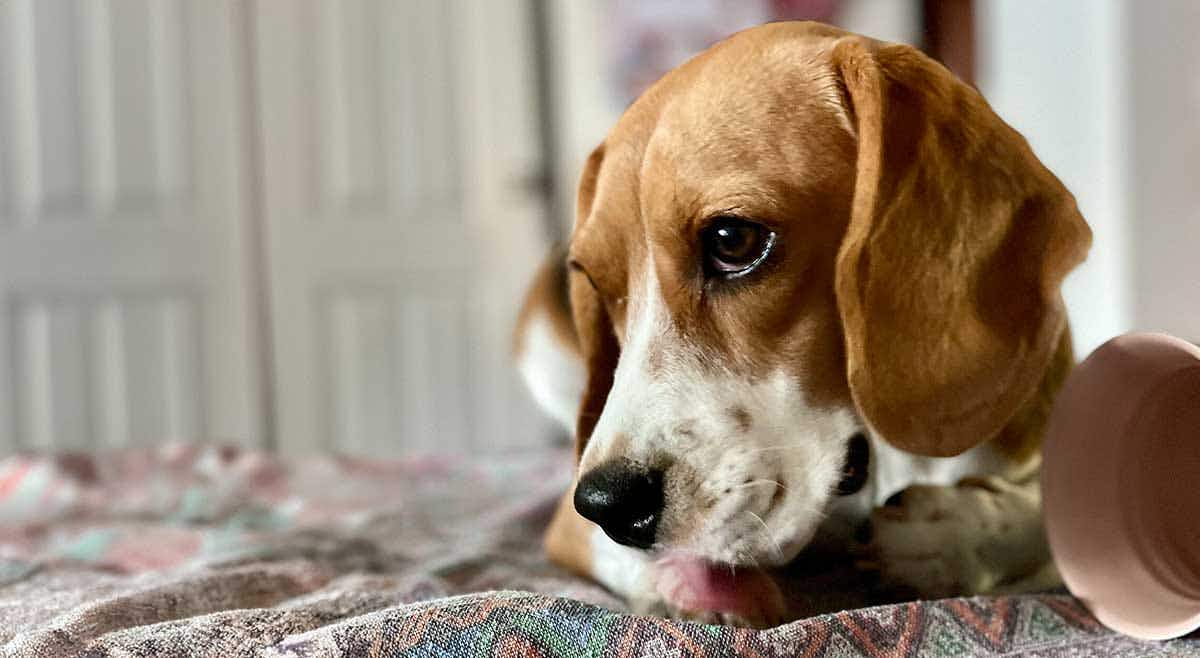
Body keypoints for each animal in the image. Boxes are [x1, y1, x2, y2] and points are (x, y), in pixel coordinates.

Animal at [511, 21, 1094, 629]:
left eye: (732, 240)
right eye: (597, 284)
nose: (609, 505)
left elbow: (1056, 512)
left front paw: (948, 536)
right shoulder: (570, 524)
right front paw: (689, 586)